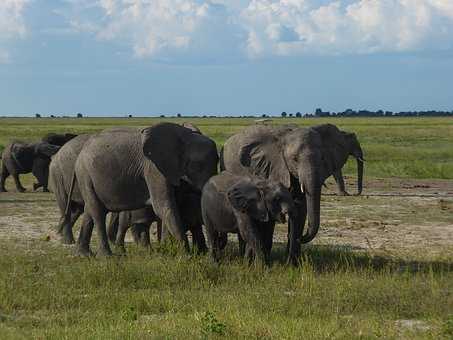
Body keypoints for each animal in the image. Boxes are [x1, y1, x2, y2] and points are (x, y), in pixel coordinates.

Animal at [68, 123, 219, 256]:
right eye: (197, 166)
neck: (184, 135)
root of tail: (81, 153)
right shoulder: (153, 168)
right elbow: (164, 206)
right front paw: (186, 255)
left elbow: (171, 205)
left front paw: (168, 251)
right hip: (85, 174)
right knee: (97, 212)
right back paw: (106, 256)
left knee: (89, 210)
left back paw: (83, 254)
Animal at [221, 123, 324, 264]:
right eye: (295, 159)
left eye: (323, 159)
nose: (301, 237)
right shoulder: (269, 169)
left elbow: (301, 207)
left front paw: (293, 265)